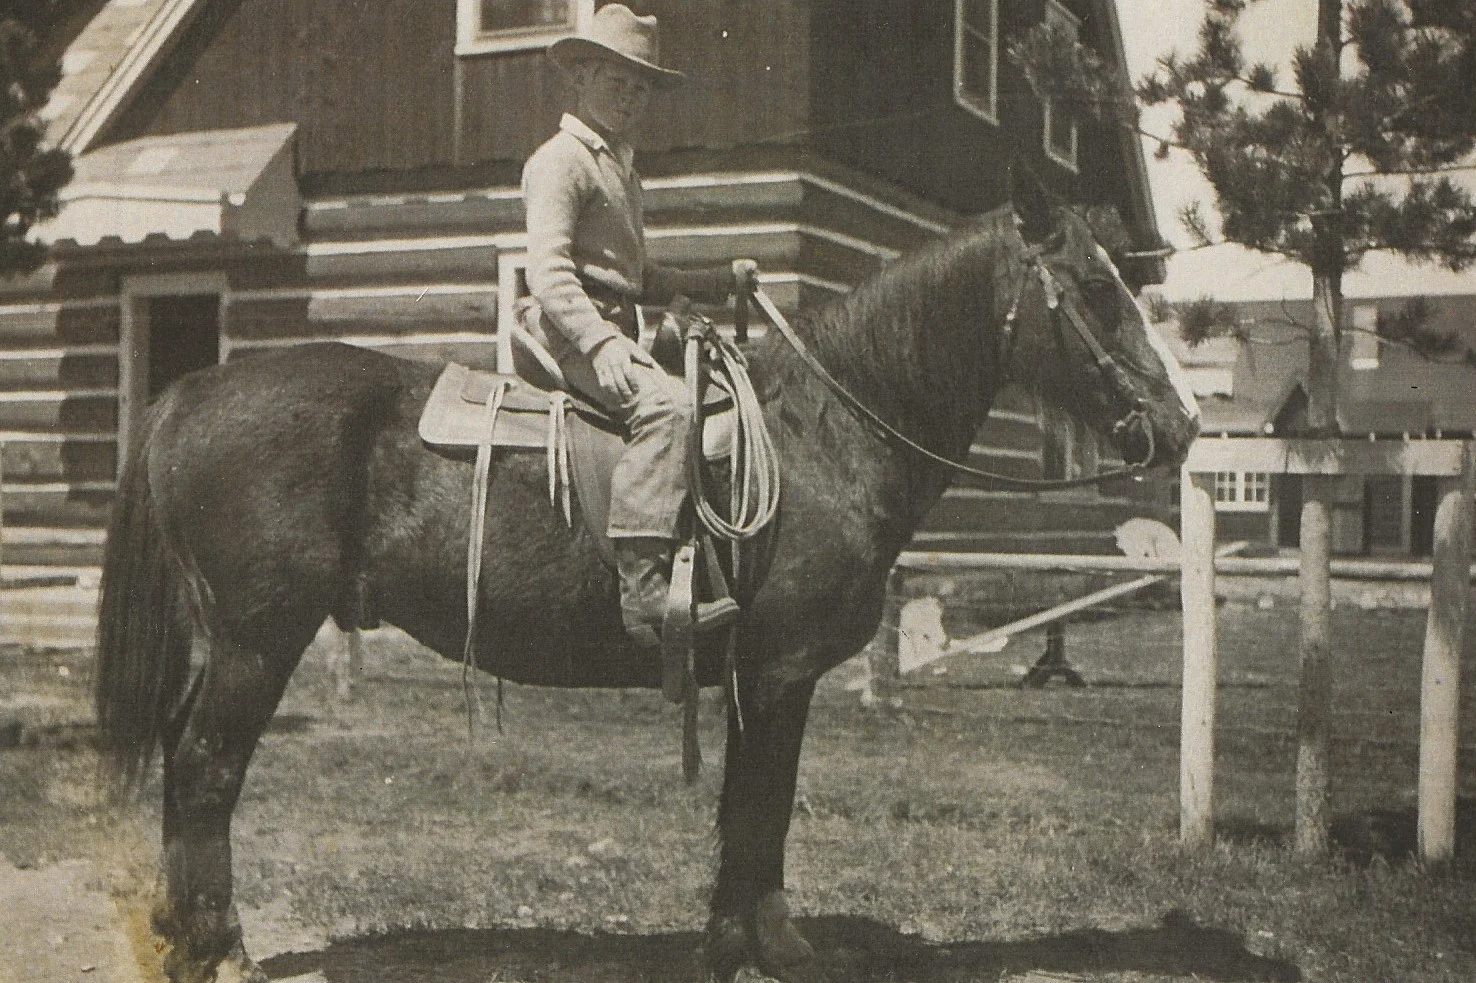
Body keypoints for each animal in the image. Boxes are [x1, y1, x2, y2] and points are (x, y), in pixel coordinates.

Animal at [92, 202, 1198, 974]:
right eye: (1097, 292)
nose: (1180, 426)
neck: (826, 435)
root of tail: (194, 391)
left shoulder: (761, 678)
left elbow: (753, 811)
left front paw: (738, 939)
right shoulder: (777, 672)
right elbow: (759, 809)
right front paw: (764, 949)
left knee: (189, 763)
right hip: (257, 640)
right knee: (205, 768)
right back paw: (220, 947)